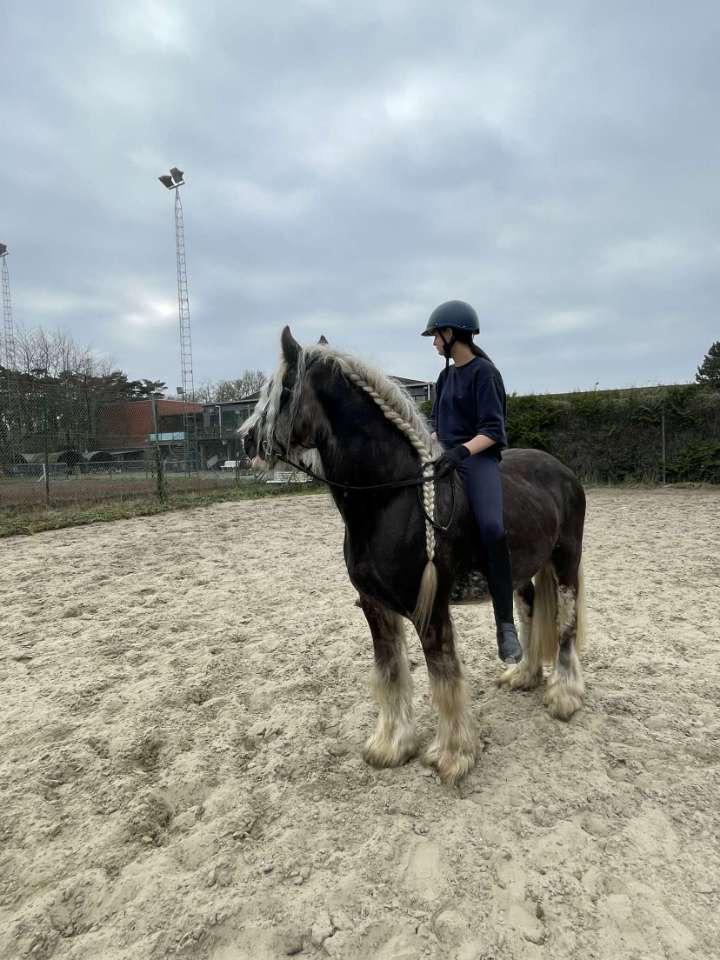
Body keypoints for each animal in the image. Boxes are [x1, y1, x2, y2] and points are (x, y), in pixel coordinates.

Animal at [241, 327, 587, 784]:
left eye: (282, 389)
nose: (245, 440)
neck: (391, 498)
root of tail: (563, 471)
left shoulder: (431, 608)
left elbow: (444, 677)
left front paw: (454, 755)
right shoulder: (375, 606)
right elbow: (390, 674)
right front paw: (392, 746)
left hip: (566, 561)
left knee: (565, 624)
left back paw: (564, 696)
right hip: (519, 571)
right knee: (529, 608)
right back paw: (524, 675)